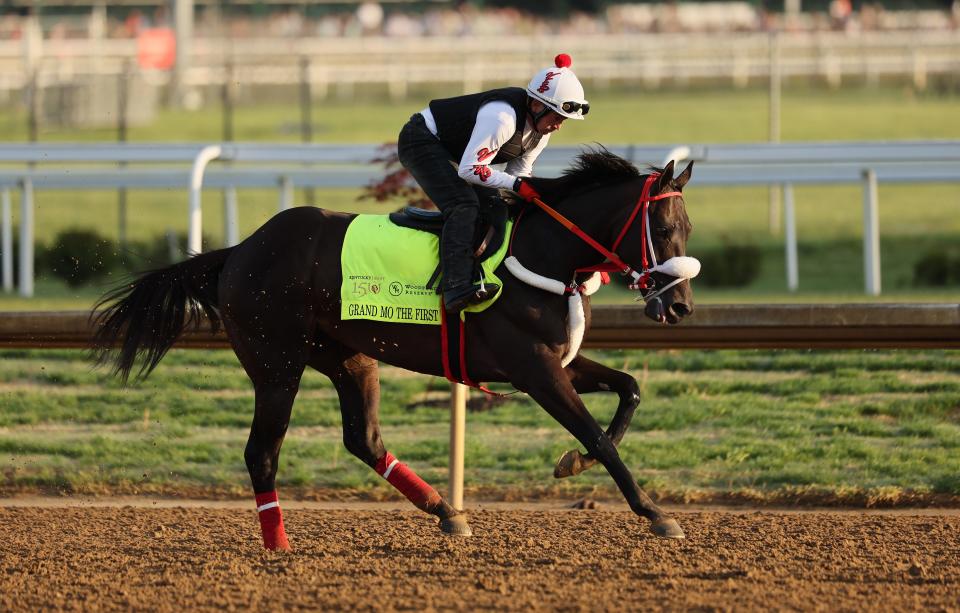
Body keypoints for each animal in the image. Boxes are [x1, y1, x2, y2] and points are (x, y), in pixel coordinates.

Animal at [92, 149, 696, 548]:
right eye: (664, 227)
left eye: (687, 229)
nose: (680, 306)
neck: (543, 253)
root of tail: (240, 249)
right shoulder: (532, 367)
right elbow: (597, 432)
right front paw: (654, 512)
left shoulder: (554, 360)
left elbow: (629, 390)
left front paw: (573, 464)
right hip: (276, 363)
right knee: (261, 452)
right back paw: (278, 546)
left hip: (349, 357)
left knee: (363, 438)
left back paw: (445, 511)